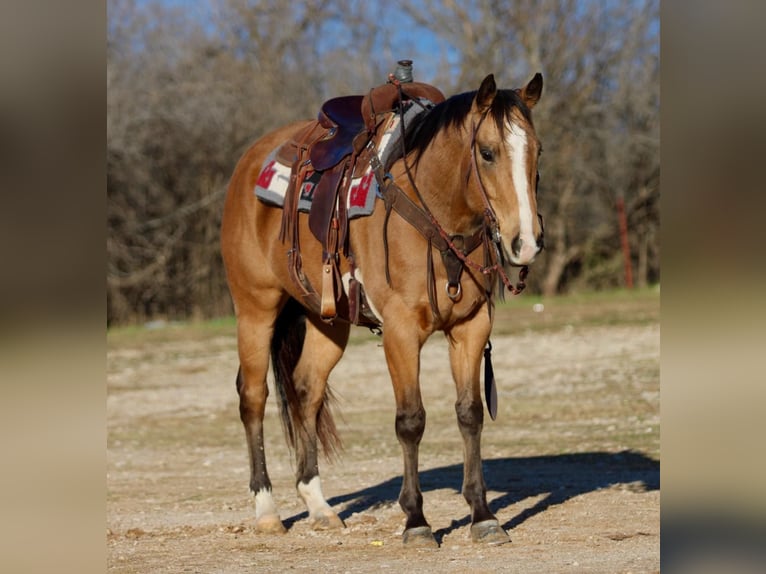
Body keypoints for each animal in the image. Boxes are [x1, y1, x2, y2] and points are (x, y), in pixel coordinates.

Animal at [220, 72, 544, 548]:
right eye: (487, 152)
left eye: (537, 150)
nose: (527, 242)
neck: (435, 211)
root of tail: (249, 162)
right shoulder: (401, 332)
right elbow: (410, 420)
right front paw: (416, 521)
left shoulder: (471, 327)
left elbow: (469, 414)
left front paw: (483, 515)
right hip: (255, 309)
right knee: (253, 397)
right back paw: (266, 510)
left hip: (326, 321)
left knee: (306, 390)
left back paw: (318, 505)